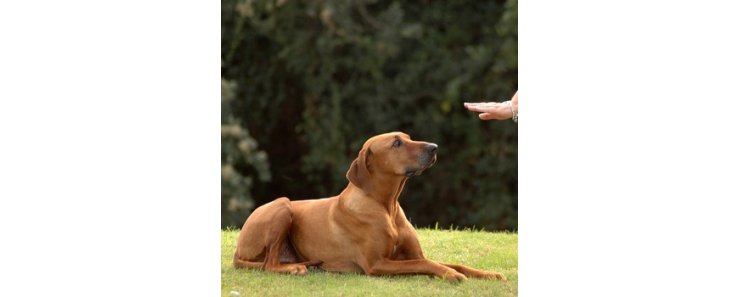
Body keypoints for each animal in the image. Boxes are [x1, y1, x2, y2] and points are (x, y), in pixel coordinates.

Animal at [234, 132, 506, 280]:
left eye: (408, 138)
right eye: (396, 143)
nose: (434, 147)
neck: (387, 206)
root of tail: (237, 251)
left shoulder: (413, 253)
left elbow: (450, 262)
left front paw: (489, 274)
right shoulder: (377, 264)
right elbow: (425, 264)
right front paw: (451, 275)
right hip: (283, 205)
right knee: (269, 264)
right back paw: (294, 269)